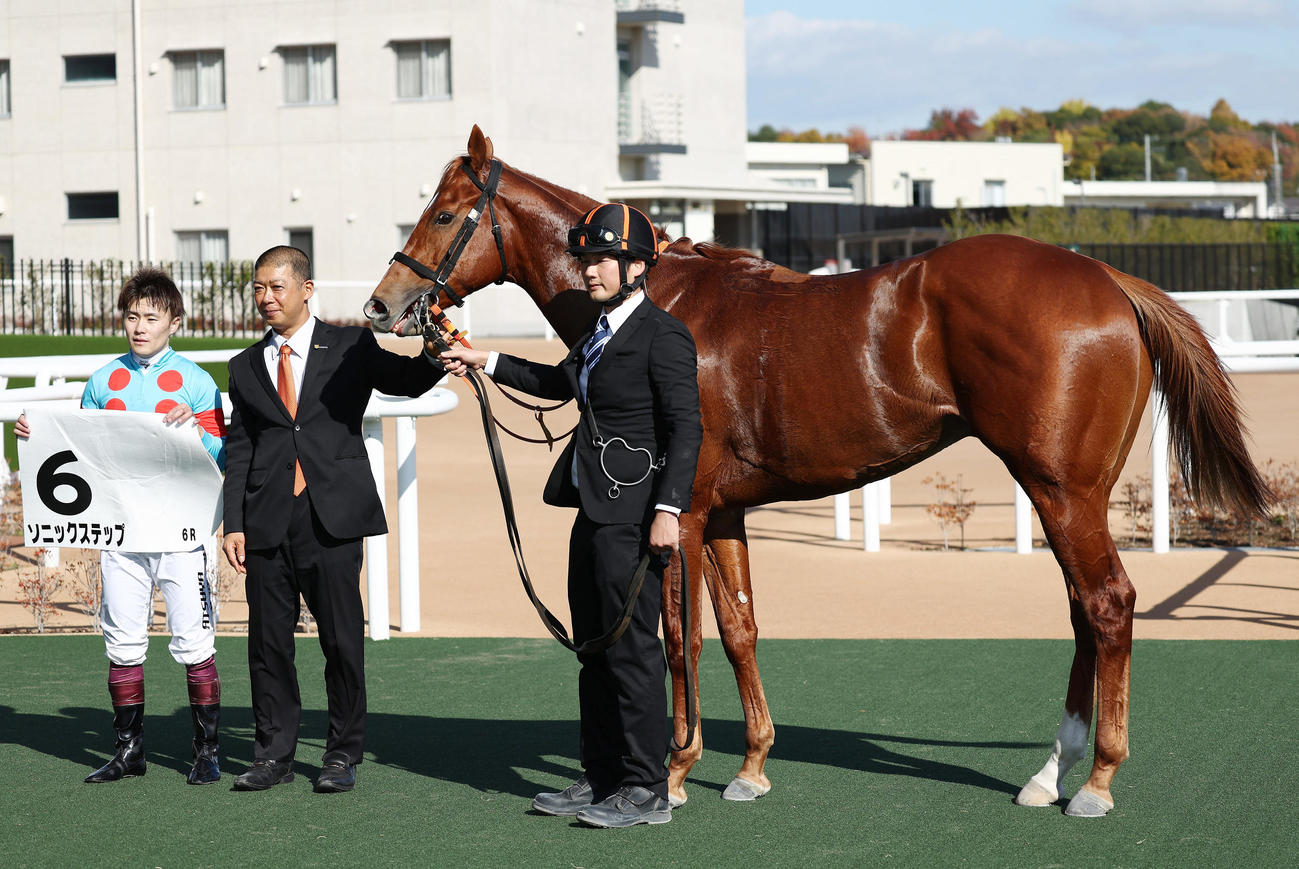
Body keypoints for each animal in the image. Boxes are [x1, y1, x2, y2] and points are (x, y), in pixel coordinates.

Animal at [364, 126, 1271, 817]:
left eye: (444, 212)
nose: (382, 305)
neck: (657, 303)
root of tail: (1106, 278)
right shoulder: (724, 514)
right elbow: (739, 630)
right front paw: (750, 767)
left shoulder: (679, 517)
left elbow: (681, 640)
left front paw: (673, 774)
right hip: (1066, 492)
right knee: (1085, 609)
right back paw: (1049, 773)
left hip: (1061, 489)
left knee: (1108, 604)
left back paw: (1095, 782)